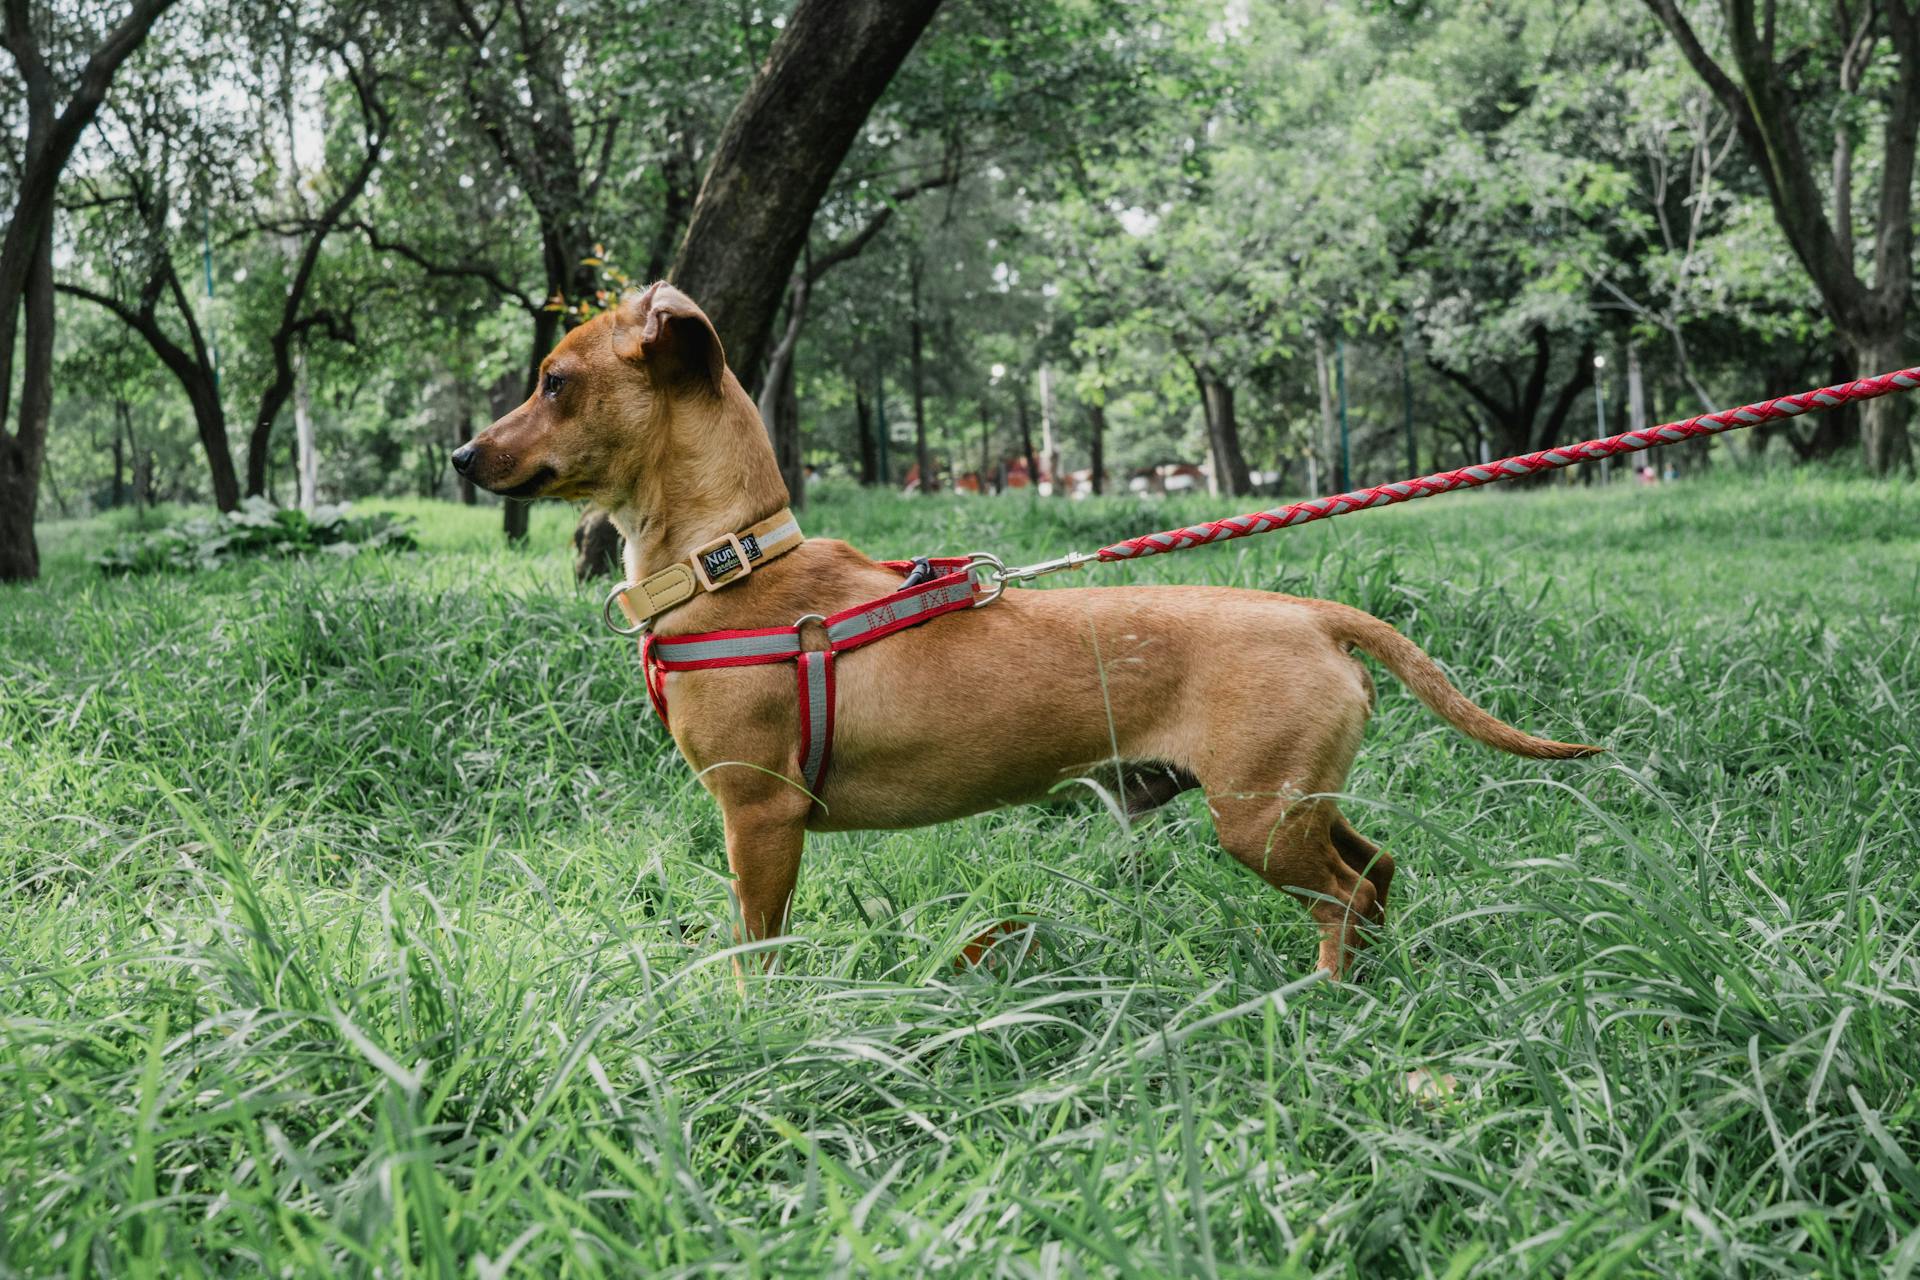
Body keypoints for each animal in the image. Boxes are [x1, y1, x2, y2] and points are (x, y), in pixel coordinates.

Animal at [456, 285, 1597, 974]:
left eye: (555, 381)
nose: (461, 456)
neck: (731, 565)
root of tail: (1313, 612)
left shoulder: (761, 819)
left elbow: (757, 950)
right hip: (1292, 804)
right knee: (1376, 870)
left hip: (1261, 822)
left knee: (1344, 895)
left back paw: (1320, 994)